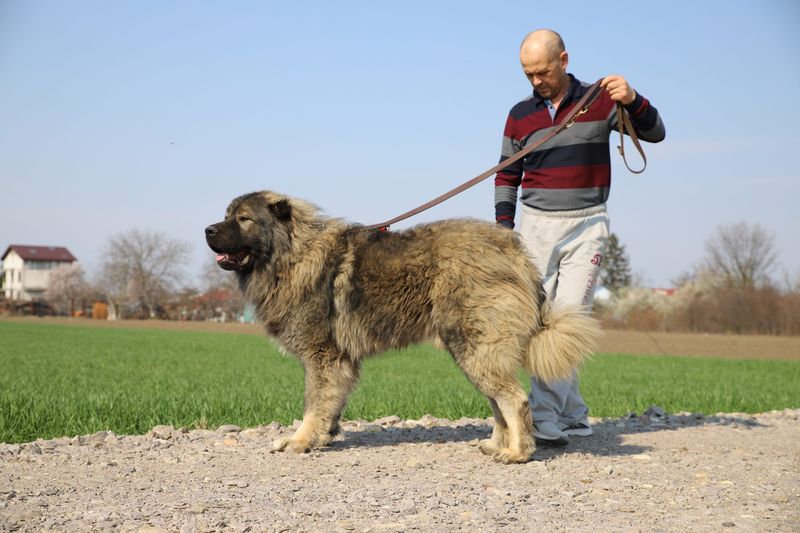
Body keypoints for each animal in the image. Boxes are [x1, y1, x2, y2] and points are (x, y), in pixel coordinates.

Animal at [203, 190, 596, 462]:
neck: (292, 256)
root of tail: (514, 250)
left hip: (475, 346)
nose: (207, 229)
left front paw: (300, 440)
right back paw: (495, 444)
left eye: (243, 219)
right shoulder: (339, 361)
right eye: (226, 216)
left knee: (514, 400)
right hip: (472, 351)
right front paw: (325, 435)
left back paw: (518, 452)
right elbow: (329, 403)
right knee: (499, 401)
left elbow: (313, 403)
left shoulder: (323, 355)